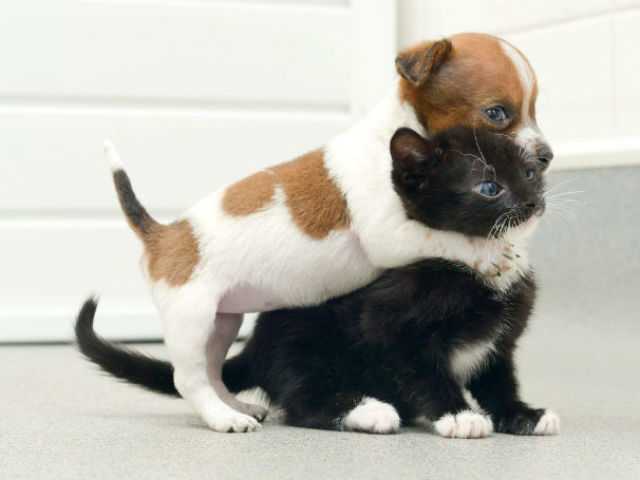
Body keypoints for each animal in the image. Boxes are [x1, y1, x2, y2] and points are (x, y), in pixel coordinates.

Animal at [96, 31, 552, 434]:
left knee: (212, 370)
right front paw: (489, 255)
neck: (396, 133)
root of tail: (161, 233)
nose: (546, 156)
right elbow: (449, 239)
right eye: (496, 113)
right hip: (193, 318)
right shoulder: (388, 236)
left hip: (223, 321)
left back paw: (236, 405)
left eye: (535, 108)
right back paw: (223, 418)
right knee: (188, 379)